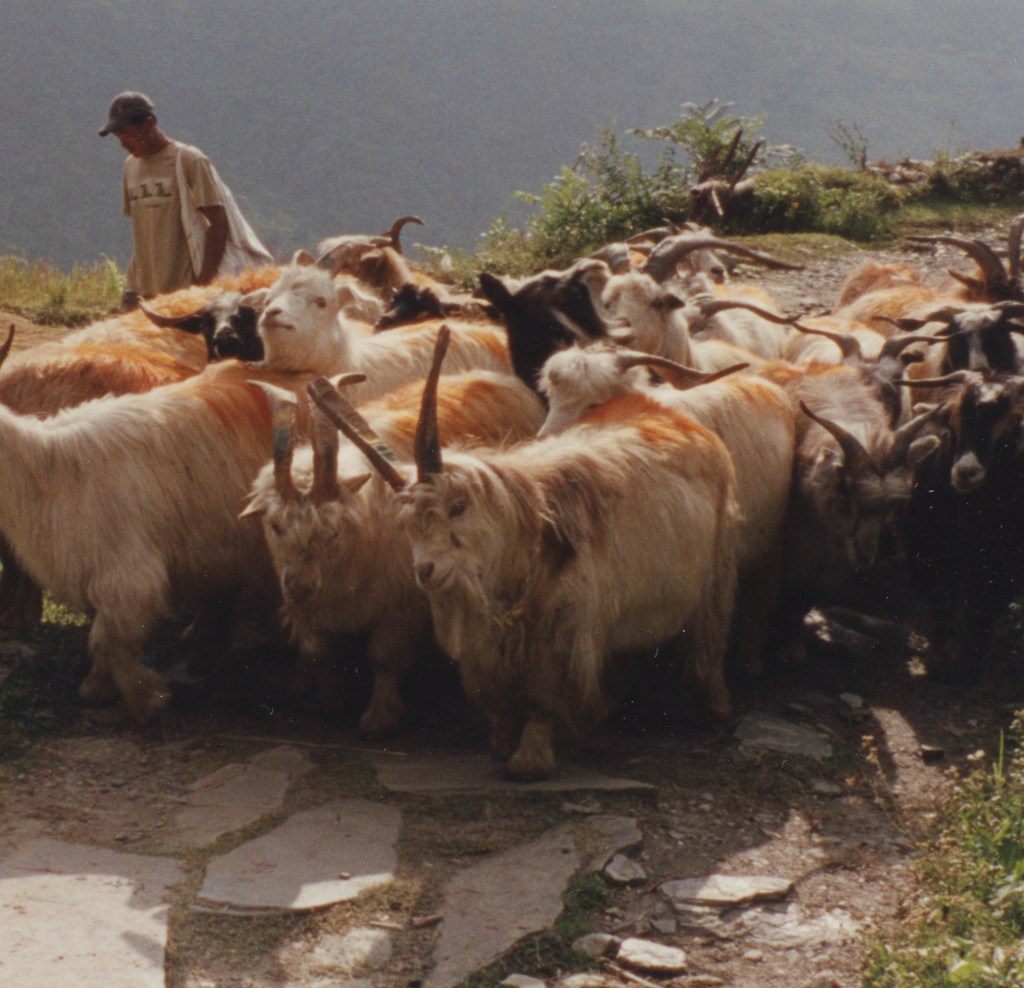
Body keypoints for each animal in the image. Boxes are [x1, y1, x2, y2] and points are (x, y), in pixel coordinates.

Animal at [246, 360, 545, 737]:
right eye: (275, 526)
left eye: (332, 532)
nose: (298, 588)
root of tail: (500, 379)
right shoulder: (312, 608)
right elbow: (317, 651)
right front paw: (329, 701)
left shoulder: (400, 608)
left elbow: (383, 659)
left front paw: (379, 717)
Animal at [335, 329, 740, 780]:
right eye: (407, 524)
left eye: (458, 508)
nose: (427, 570)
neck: (531, 526)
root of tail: (662, 413)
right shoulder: (490, 634)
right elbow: (496, 693)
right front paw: (501, 743)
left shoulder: (563, 626)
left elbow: (543, 696)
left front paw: (529, 760)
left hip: (717, 575)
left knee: (708, 643)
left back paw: (718, 712)